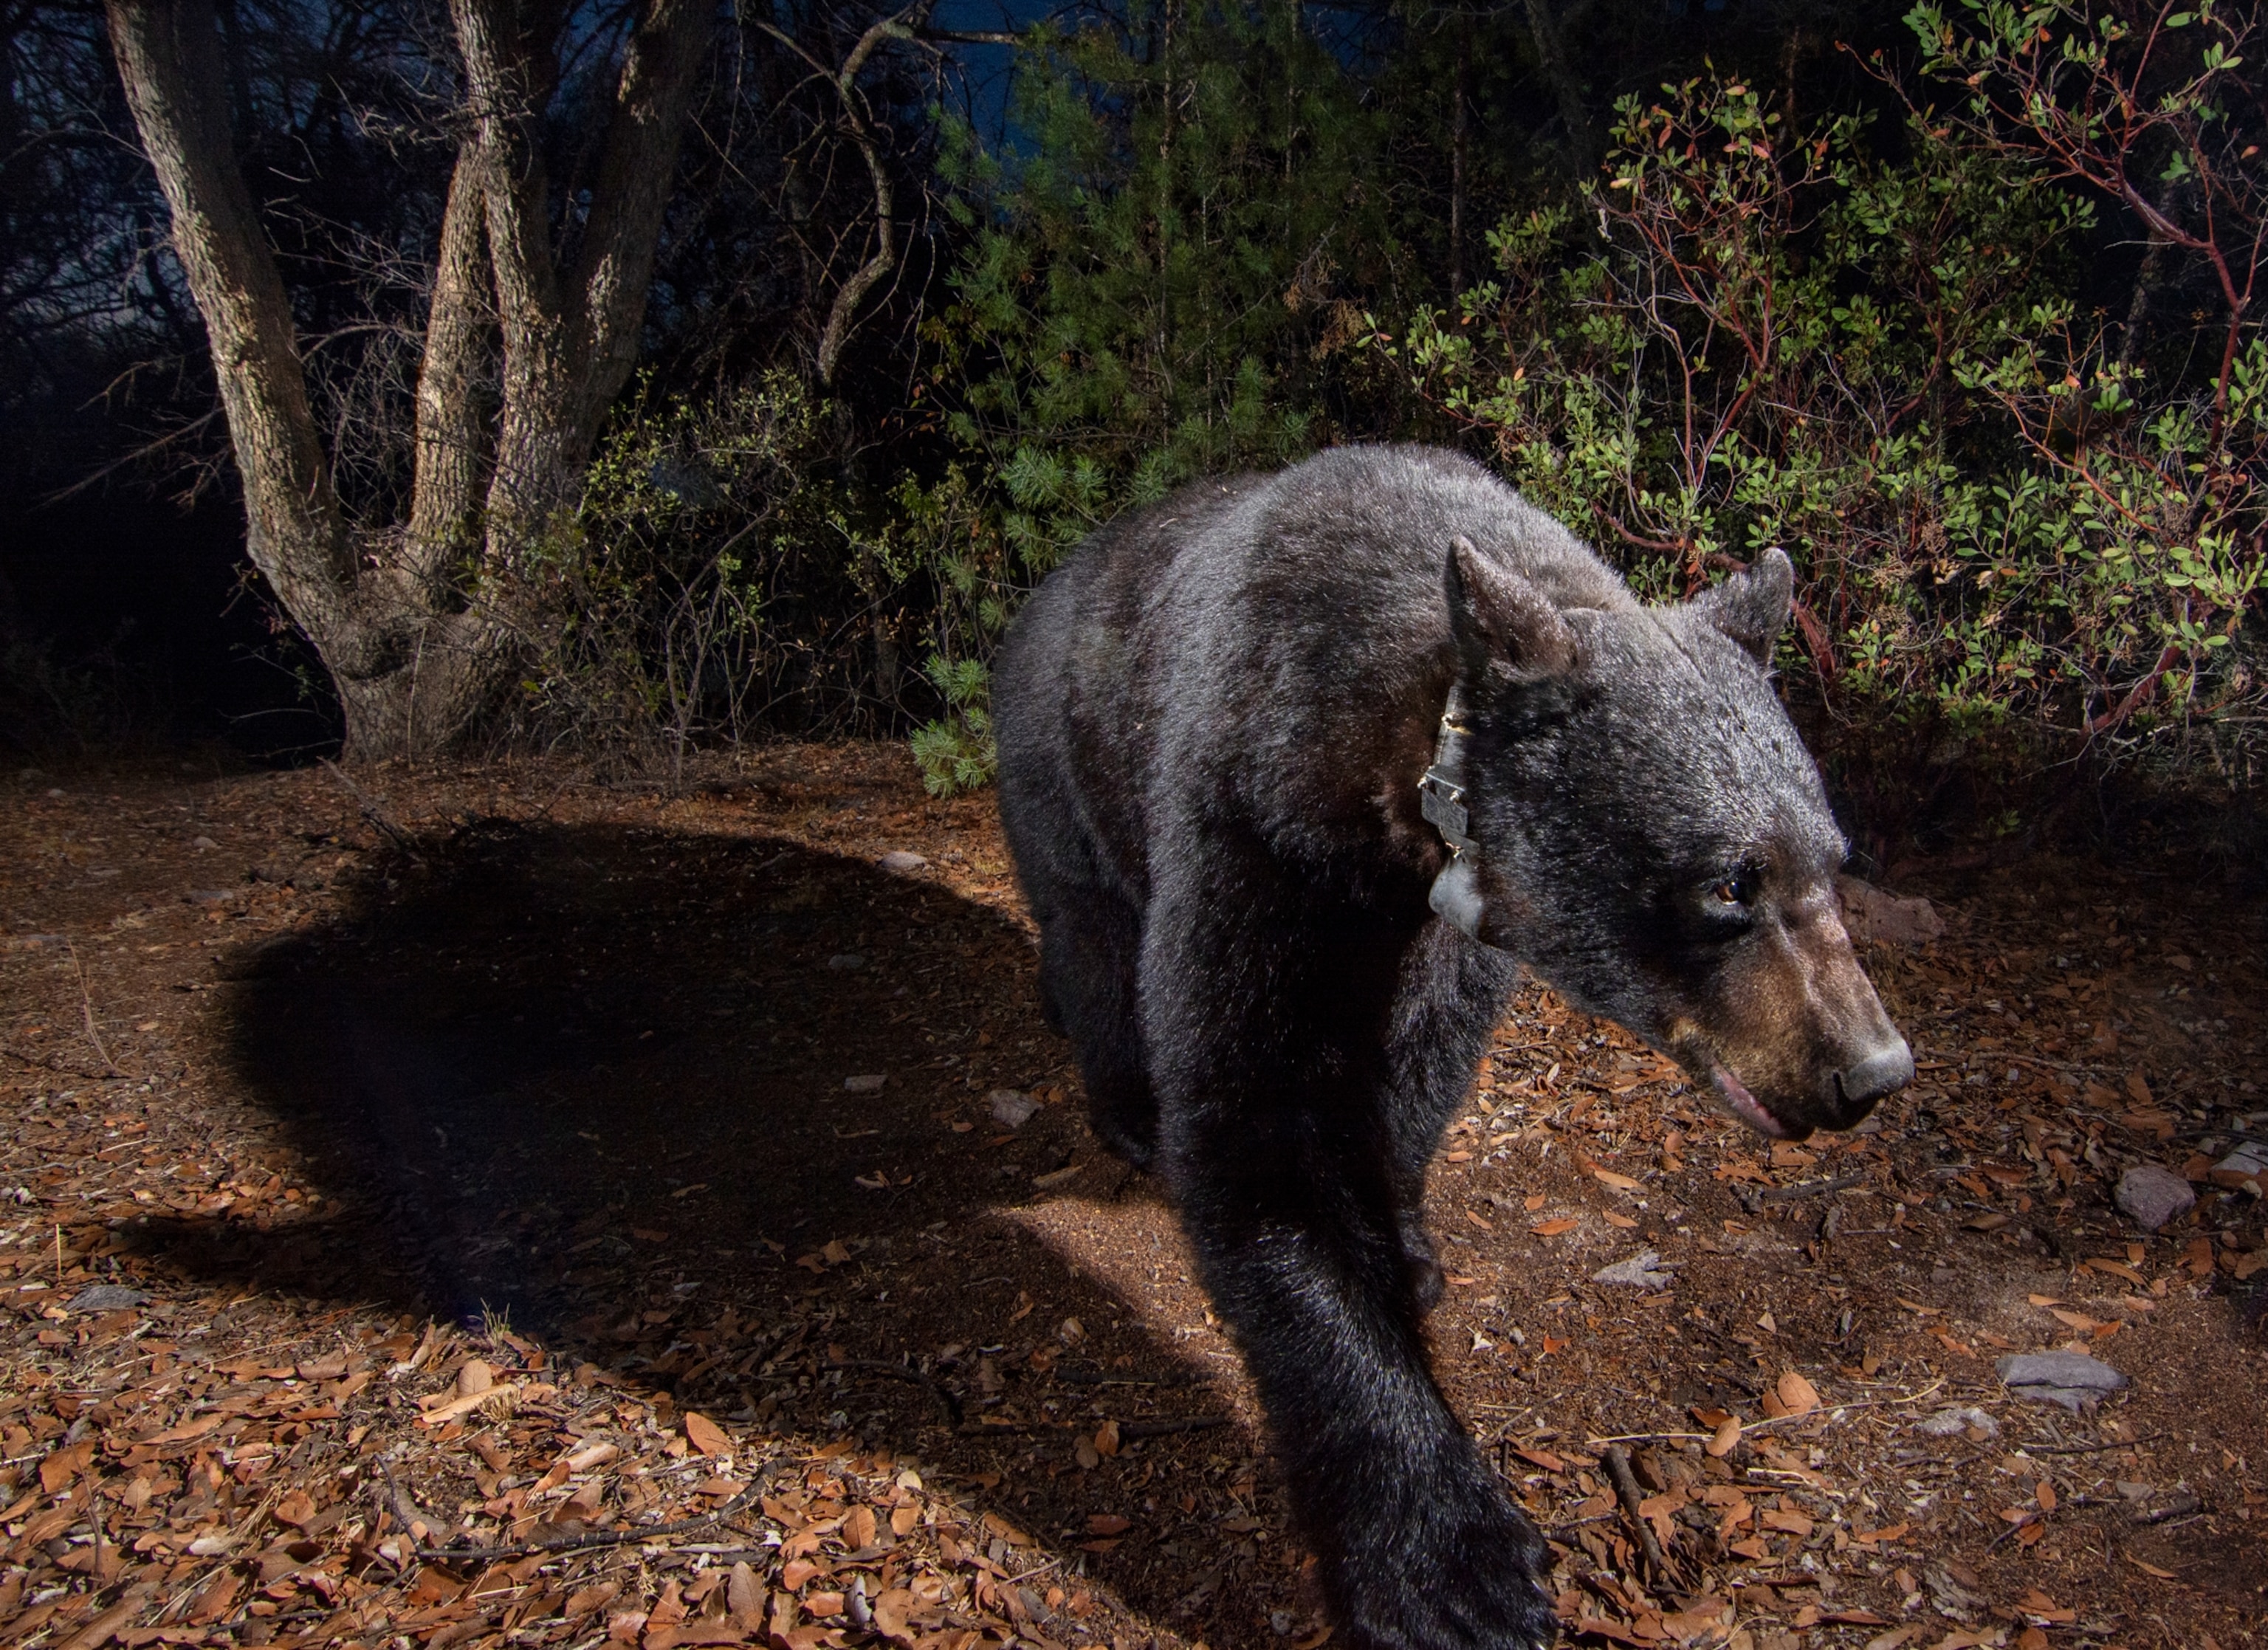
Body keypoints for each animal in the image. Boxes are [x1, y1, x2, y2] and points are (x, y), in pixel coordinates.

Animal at [992, 444, 1912, 1650]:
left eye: (1834, 862)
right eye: (1727, 884)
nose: (1871, 1068)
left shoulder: (1450, 917)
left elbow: (1415, 1070)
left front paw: (1408, 1244)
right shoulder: (1249, 812)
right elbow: (1261, 1116)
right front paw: (1453, 1567)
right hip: (1064, 763)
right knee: (1096, 938)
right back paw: (1126, 1108)